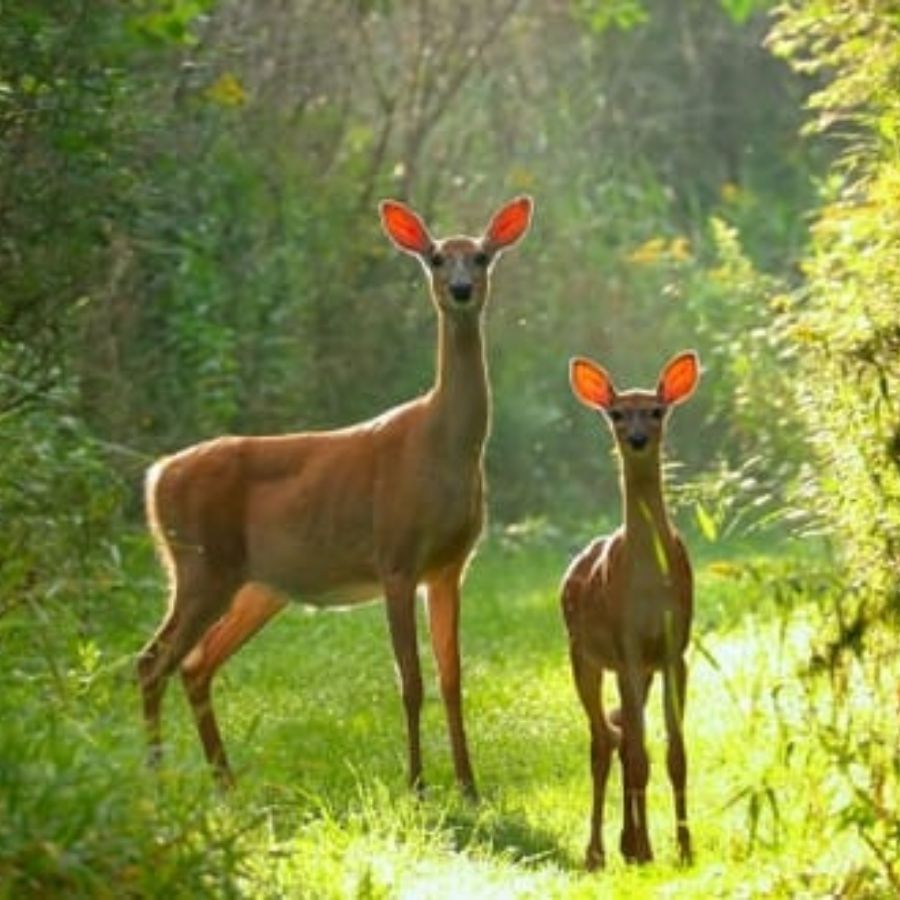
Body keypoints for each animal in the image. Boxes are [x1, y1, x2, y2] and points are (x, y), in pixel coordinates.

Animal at [139, 195, 536, 796]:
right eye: (437, 258)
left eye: (483, 256)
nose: (462, 289)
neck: (442, 447)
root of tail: (157, 476)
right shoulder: (396, 556)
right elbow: (410, 680)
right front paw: (417, 785)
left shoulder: (449, 567)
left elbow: (451, 677)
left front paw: (469, 788)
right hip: (202, 564)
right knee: (152, 662)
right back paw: (159, 786)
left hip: (256, 586)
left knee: (194, 664)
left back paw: (224, 784)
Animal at [564, 350, 704, 864]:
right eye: (616, 413)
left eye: (657, 411)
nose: (638, 438)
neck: (647, 583)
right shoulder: (624, 645)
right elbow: (641, 754)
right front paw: (649, 848)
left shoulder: (672, 649)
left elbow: (675, 755)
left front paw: (684, 847)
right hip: (582, 654)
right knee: (604, 740)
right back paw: (599, 851)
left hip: (639, 670)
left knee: (622, 737)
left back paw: (629, 842)